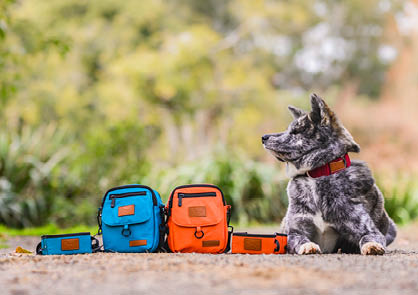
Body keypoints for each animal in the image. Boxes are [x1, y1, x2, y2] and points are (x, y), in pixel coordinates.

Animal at [262, 94, 396, 254]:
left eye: (295, 132)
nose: (263, 137)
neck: (316, 174)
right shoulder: (294, 232)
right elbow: (300, 239)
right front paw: (308, 246)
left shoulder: (368, 229)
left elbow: (368, 237)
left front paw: (372, 246)